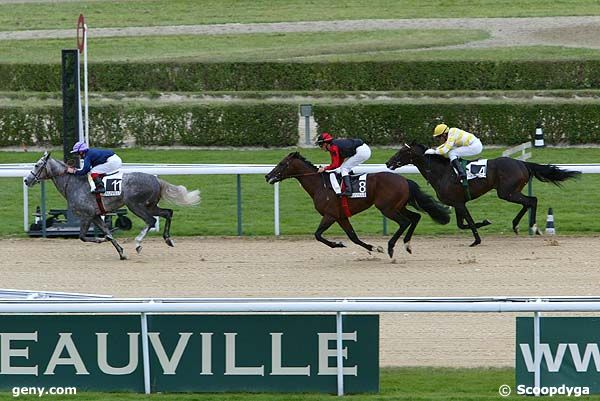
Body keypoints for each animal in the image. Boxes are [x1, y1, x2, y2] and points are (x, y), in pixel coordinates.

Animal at [24, 151, 202, 260]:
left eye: (37, 165)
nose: (26, 180)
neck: (73, 184)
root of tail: (156, 180)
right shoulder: (95, 215)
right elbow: (108, 232)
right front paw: (121, 253)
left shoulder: (86, 215)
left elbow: (83, 237)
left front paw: (102, 239)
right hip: (150, 205)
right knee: (168, 213)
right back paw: (168, 240)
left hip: (135, 205)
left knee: (151, 221)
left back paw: (138, 243)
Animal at [264, 150, 450, 256]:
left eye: (281, 164)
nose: (267, 176)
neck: (320, 185)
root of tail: (404, 179)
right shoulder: (341, 216)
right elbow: (353, 236)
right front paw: (373, 248)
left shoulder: (330, 215)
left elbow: (318, 235)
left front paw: (338, 244)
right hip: (398, 206)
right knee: (415, 217)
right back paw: (407, 245)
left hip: (387, 208)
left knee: (405, 222)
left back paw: (391, 247)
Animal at [386, 142, 580, 245]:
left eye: (402, 151)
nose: (388, 163)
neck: (442, 173)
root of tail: (522, 163)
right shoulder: (457, 203)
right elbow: (462, 224)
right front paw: (485, 223)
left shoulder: (459, 203)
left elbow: (469, 222)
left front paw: (477, 240)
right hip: (510, 191)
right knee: (529, 201)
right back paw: (518, 225)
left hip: (506, 192)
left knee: (532, 200)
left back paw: (531, 226)